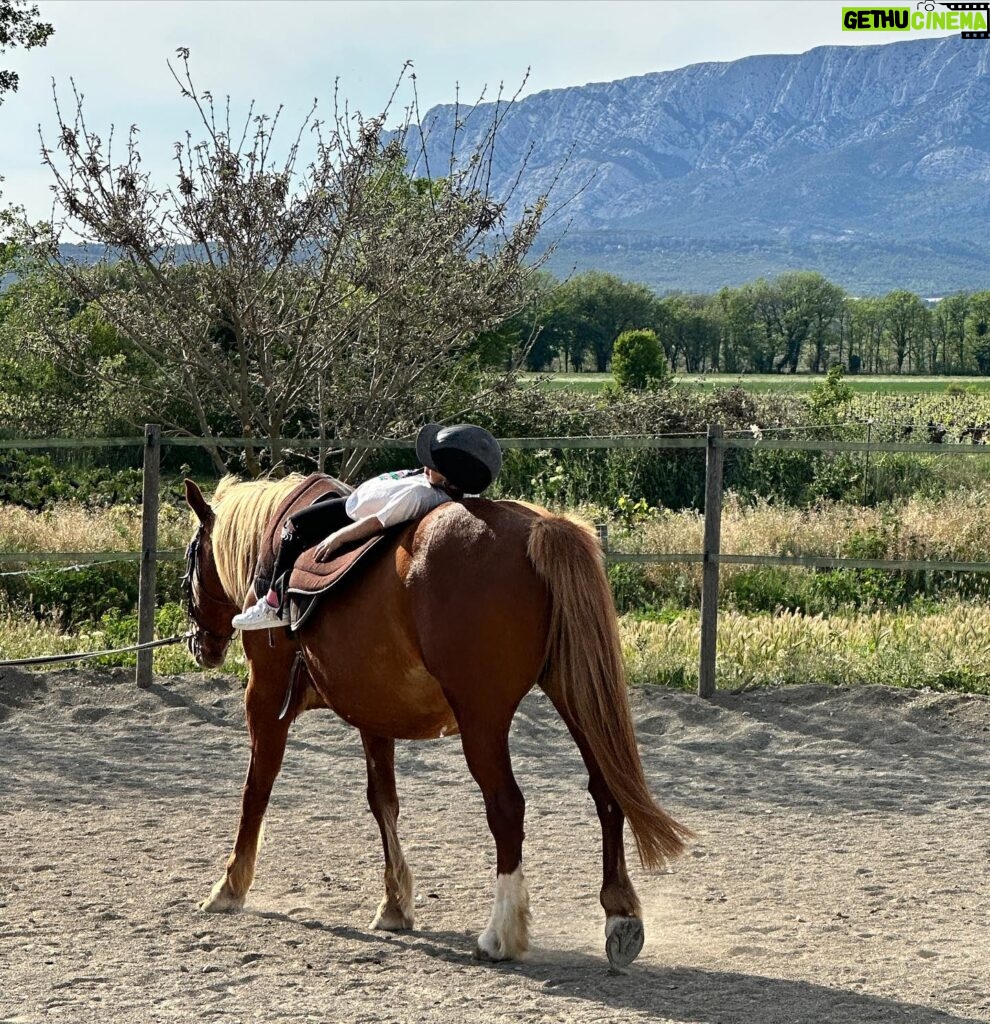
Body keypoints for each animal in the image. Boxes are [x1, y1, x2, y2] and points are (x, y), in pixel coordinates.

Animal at [182, 473, 683, 966]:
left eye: (191, 559)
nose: (199, 644)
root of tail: (538, 527)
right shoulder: (373, 715)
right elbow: (383, 801)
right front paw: (394, 905)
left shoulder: (264, 697)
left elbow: (256, 790)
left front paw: (229, 887)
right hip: (574, 694)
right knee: (606, 792)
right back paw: (620, 916)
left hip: (483, 719)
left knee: (507, 806)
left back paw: (501, 933)